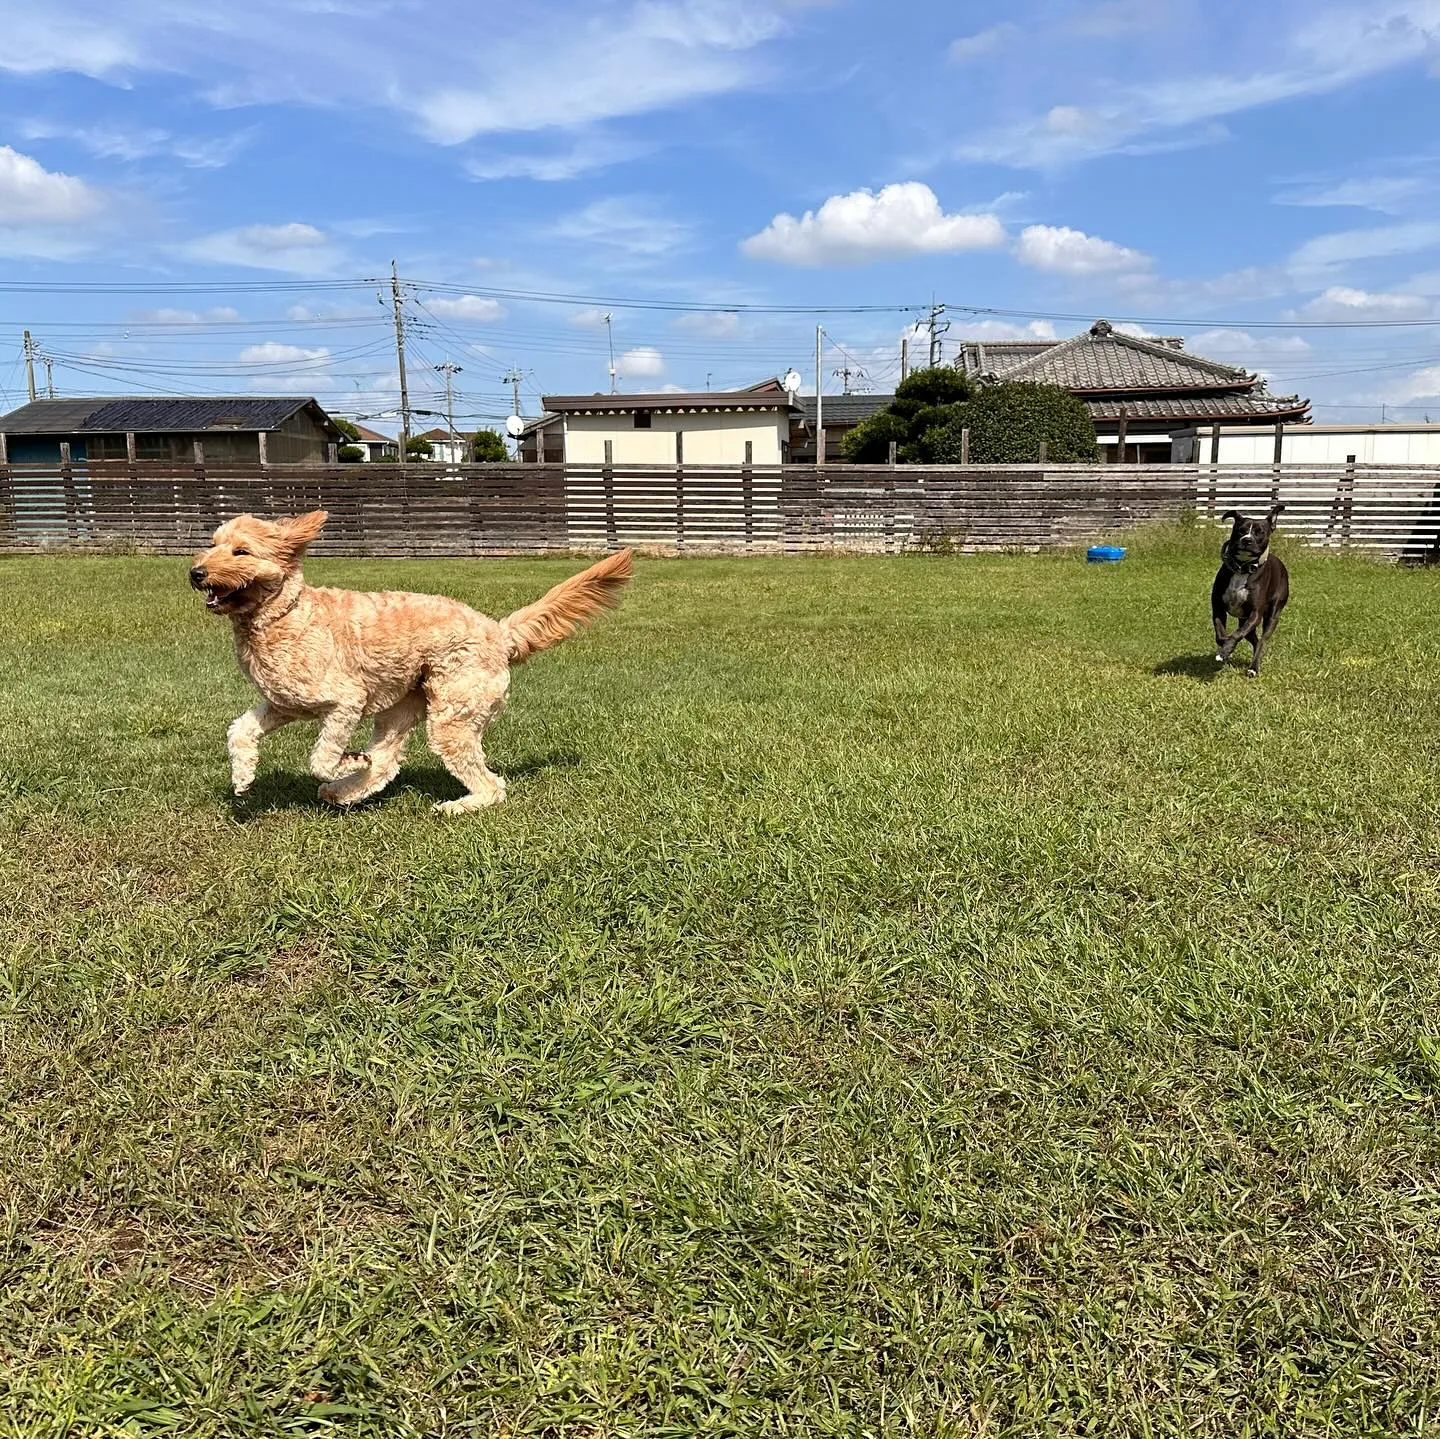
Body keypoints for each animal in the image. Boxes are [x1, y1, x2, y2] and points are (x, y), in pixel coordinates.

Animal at [192, 515, 636, 812]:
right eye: (212, 544)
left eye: (241, 551)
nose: (196, 572)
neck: (283, 617)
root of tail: (498, 631)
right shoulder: (283, 704)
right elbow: (240, 731)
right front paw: (243, 778)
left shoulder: (344, 702)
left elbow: (321, 758)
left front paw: (344, 760)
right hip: (400, 707)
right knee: (386, 761)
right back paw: (346, 789)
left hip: (452, 716)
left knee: (491, 784)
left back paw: (458, 805)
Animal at [1209, 507, 1290, 679]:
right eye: (1241, 530)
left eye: (1260, 532)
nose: (1247, 540)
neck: (1242, 569)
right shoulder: (1218, 608)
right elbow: (1221, 634)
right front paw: (1225, 649)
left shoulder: (1255, 614)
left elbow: (1236, 635)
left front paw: (1226, 650)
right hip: (1244, 620)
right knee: (1254, 640)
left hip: (1272, 615)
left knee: (1262, 641)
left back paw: (1254, 667)